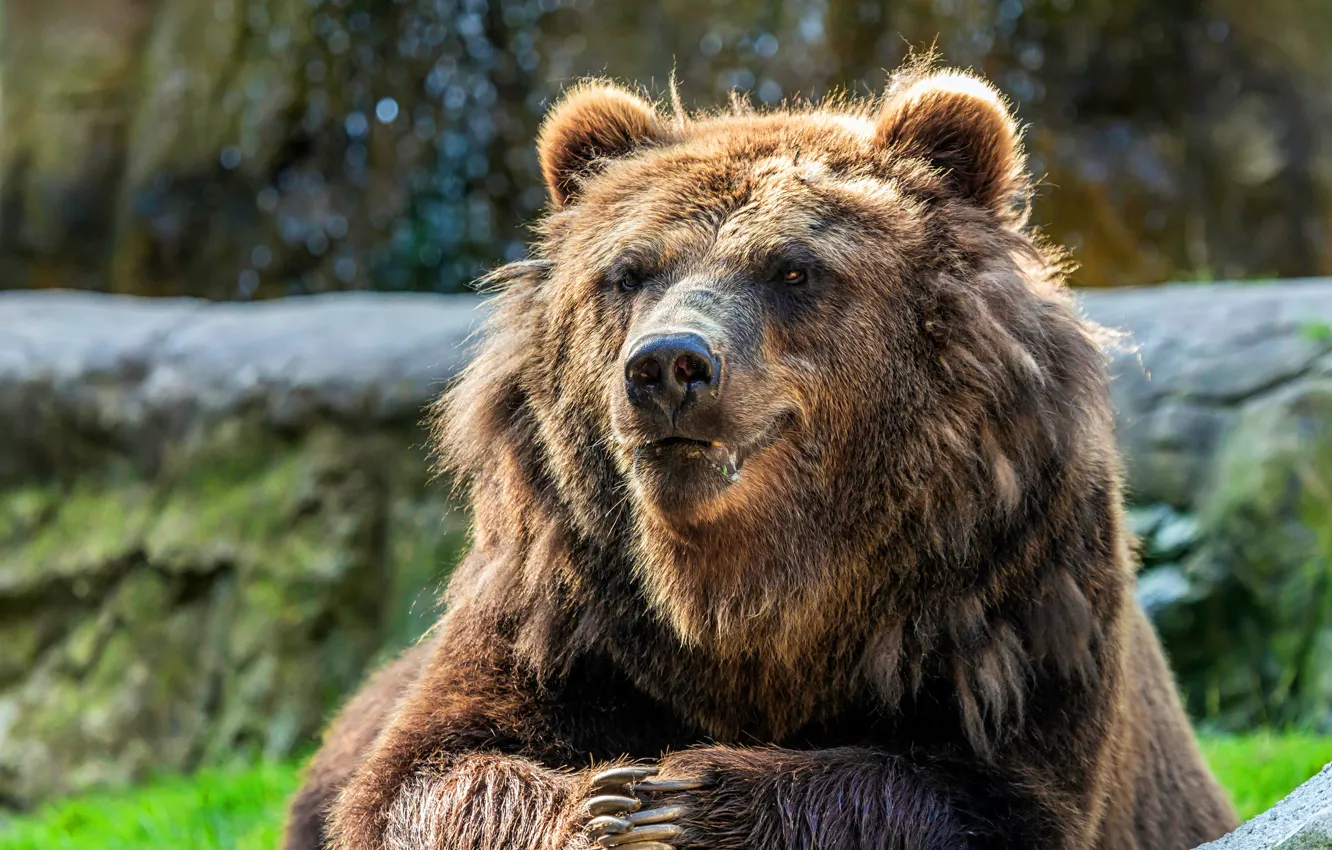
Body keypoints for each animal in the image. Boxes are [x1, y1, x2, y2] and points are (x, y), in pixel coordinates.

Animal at [283, 58, 1239, 850]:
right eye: (629, 271)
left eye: (792, 269)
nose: (668, 365)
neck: (752, 598)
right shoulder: (562, 599)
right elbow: (421, 777)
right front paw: (605, 807)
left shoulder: (1009, 592)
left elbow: (987, 797)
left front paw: (689, 804)